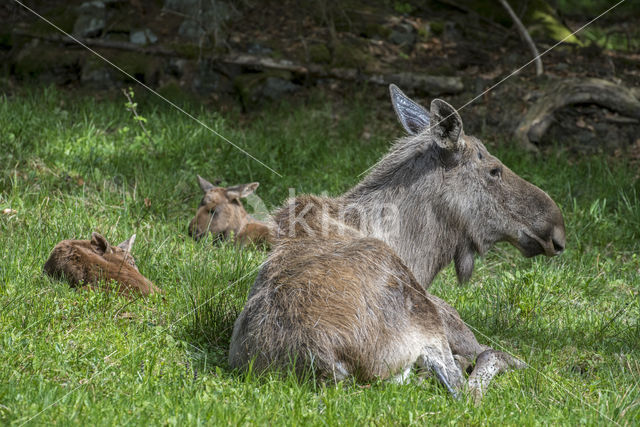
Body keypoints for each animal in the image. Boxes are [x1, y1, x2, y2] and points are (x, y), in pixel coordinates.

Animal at [229, 86, 564, 402]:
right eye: (494, 170)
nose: (556, 227)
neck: (417, 257)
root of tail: (327, 364)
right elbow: (493, 354)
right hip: (427, 324)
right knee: (469, 384)